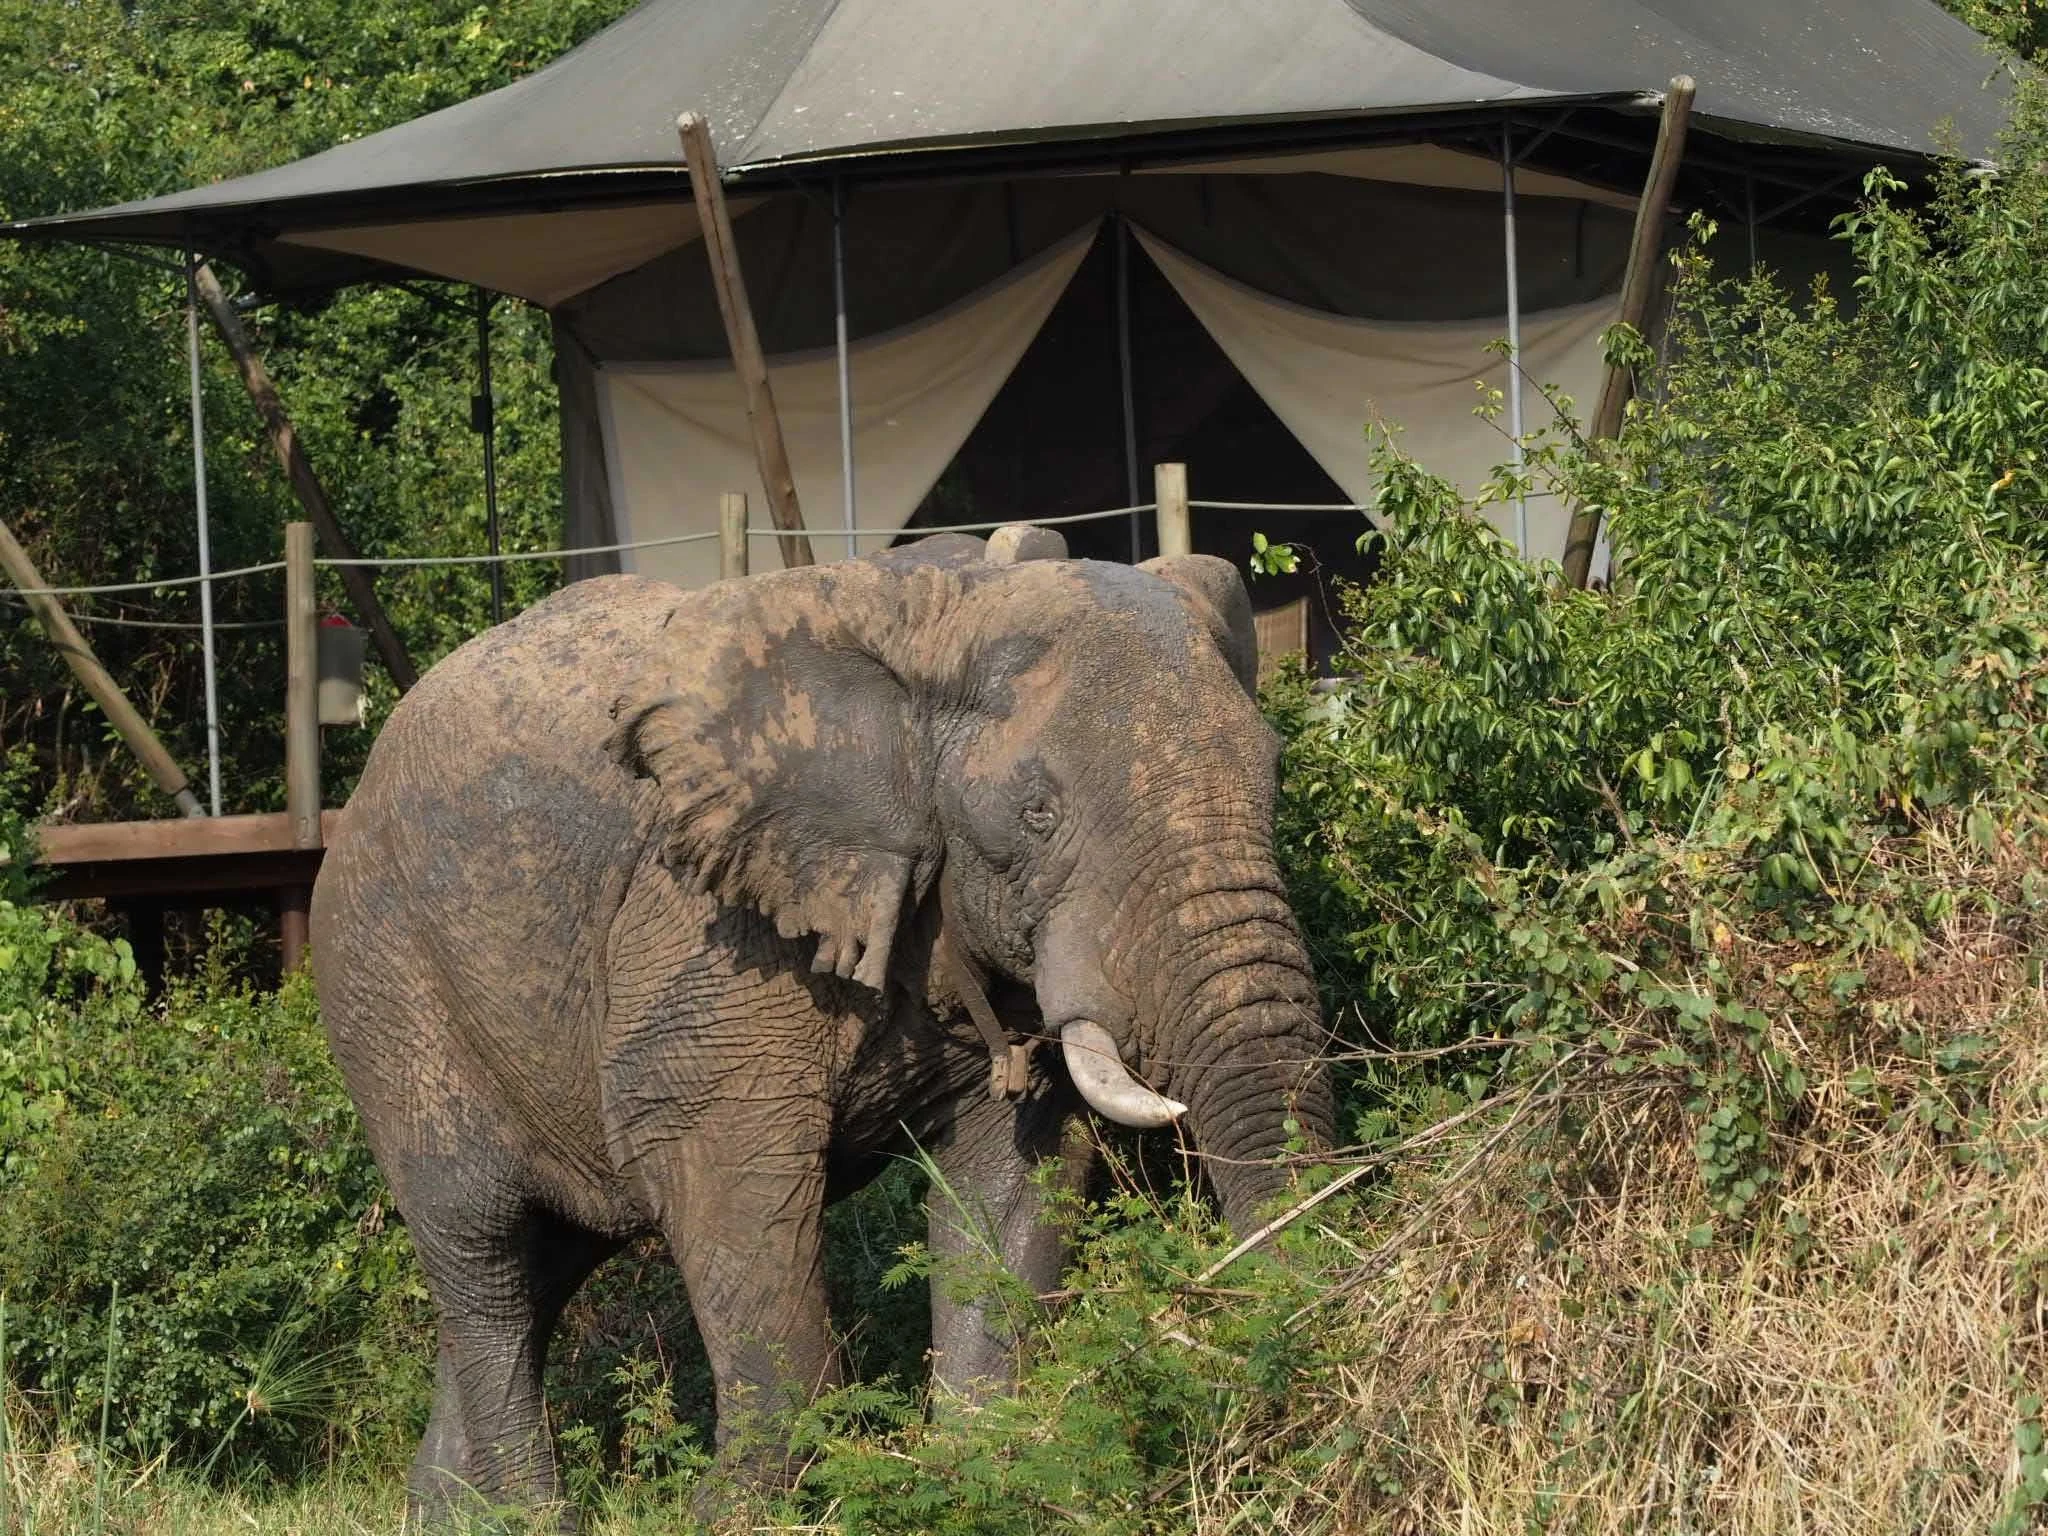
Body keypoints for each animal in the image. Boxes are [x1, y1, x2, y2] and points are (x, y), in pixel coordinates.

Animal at [310, 527, 1335, 1523]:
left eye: (1276, 777)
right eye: (1037, 814)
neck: (938, 631)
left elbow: (1014, 1173)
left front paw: (990, 1469)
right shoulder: (709, 917)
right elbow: (721, 1153)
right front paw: (742, 1510)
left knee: (542, 1268)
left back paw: (447, 1514)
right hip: (382, 981)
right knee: (481, 1249)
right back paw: (527, 1515)